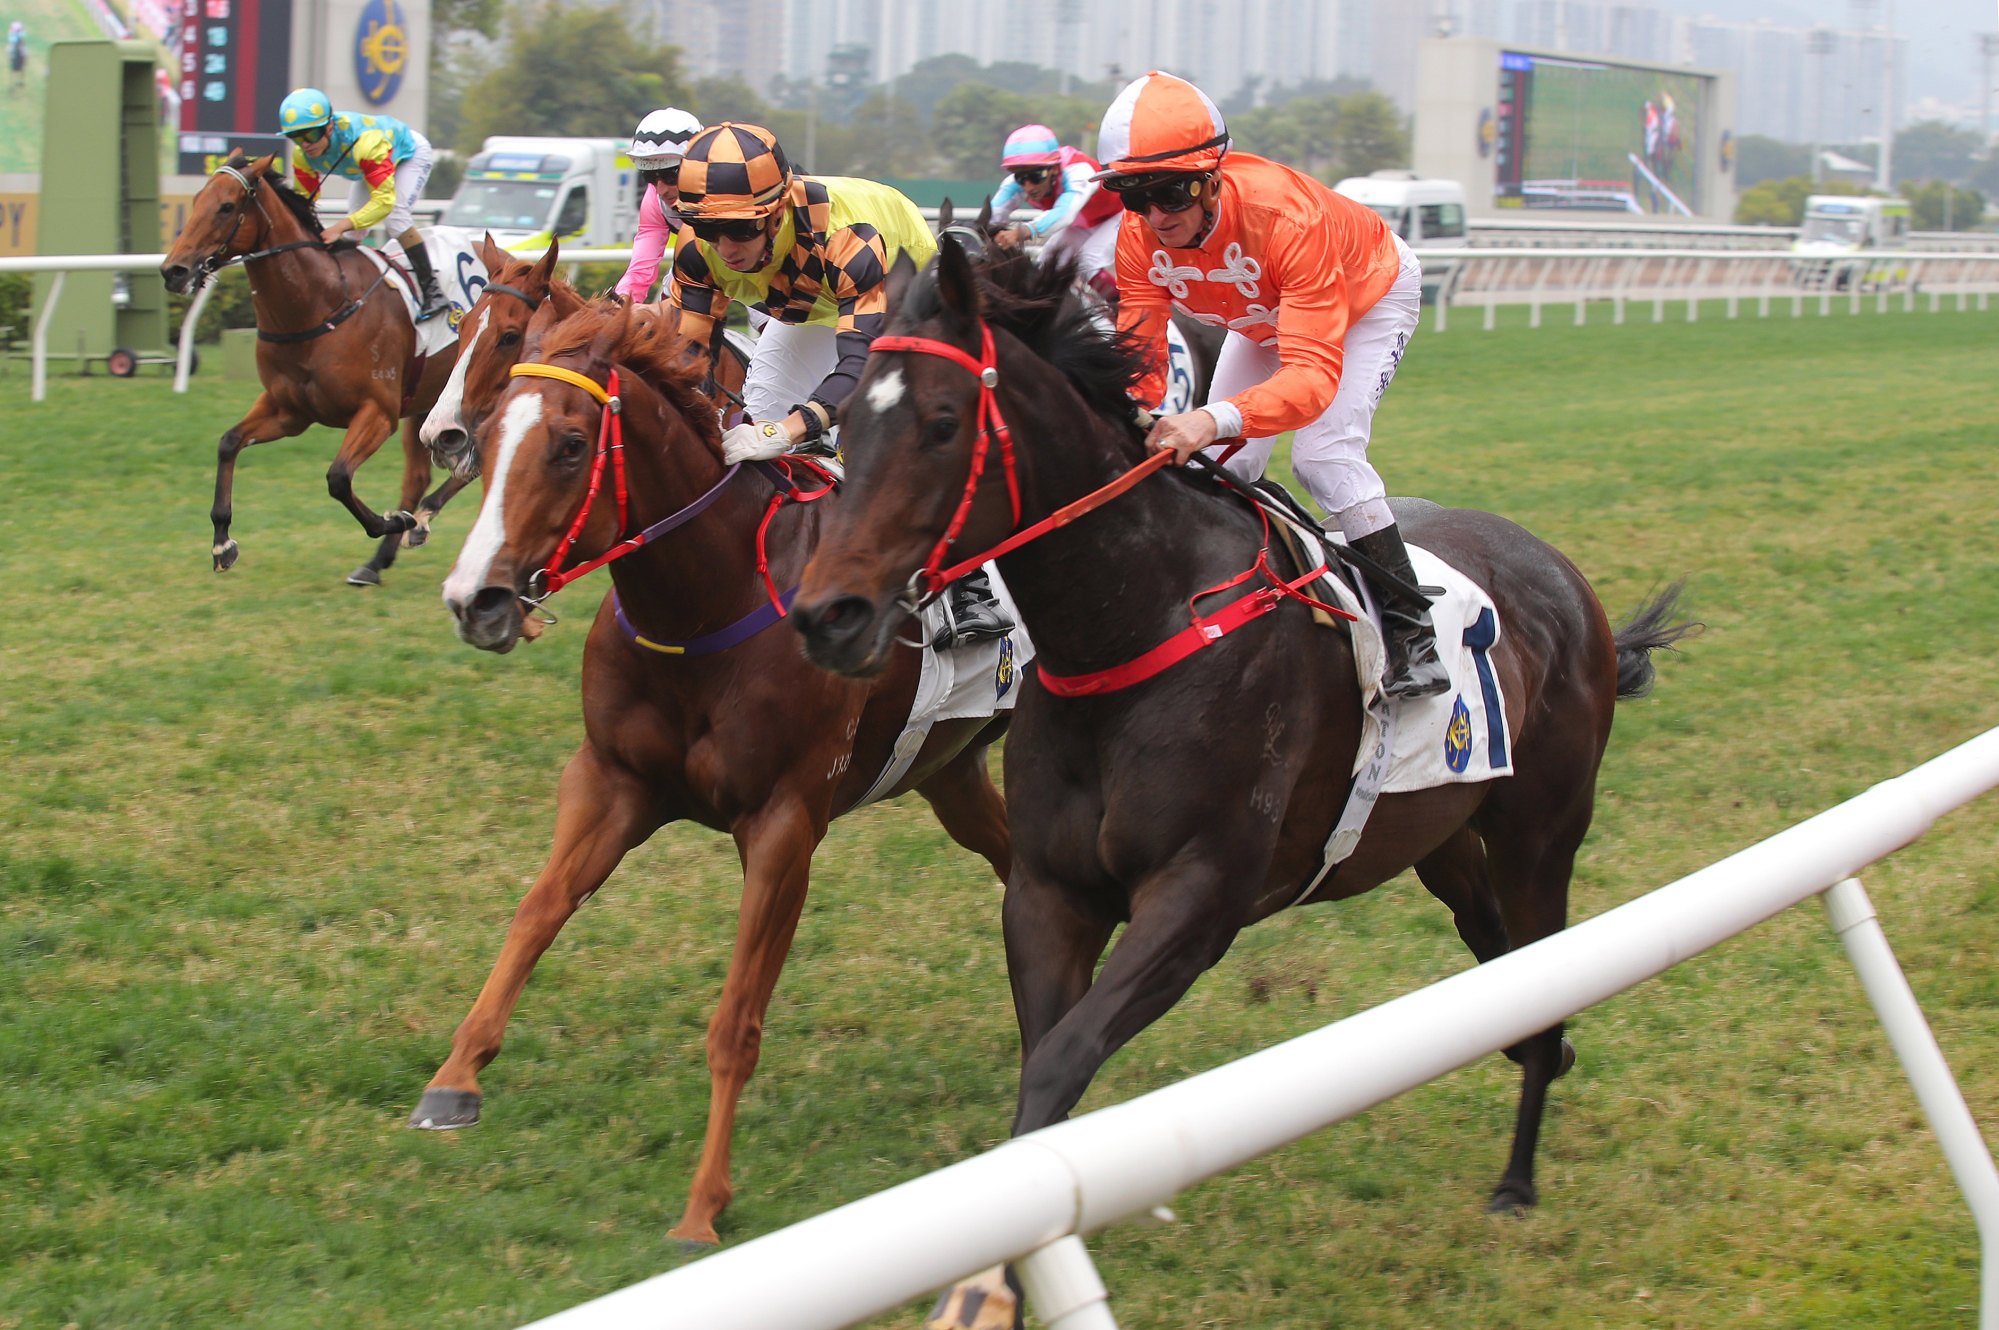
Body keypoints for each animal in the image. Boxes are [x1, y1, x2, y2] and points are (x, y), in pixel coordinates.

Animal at [161, 150, 469, 580]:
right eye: (195, 202)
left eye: (226, 207)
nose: (173, 271)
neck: (319, 303)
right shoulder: (289, 411)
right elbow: (228, 442)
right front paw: (222, 541)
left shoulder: (378, 412)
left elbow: (338, 478)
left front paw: (393, 520)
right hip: (427, 402)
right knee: (419, 474)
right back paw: (379, 560)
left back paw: (421, 517)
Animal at [417, 300, 1015, 1248]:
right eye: (490, 431)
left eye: (570, 445)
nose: (475, 600)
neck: (709, 599)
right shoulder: (610, 782)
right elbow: (536, 912)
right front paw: (454, 1078)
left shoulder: (784, 824)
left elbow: (735, 1018)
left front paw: (703, 1205)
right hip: (950, 774)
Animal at [787, 244, 1695, 1280]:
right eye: (852, 423)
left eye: (941, 423)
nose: (828, 615)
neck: (1134, 620)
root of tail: (1566, 578)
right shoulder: (1051, 890)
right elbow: (1041, 1067)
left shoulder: (1199, 896)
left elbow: (1060, 1061)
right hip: (1440, 840)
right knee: (1494, 947)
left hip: (1540, 835)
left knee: (1545, 962)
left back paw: (1518, 1175)